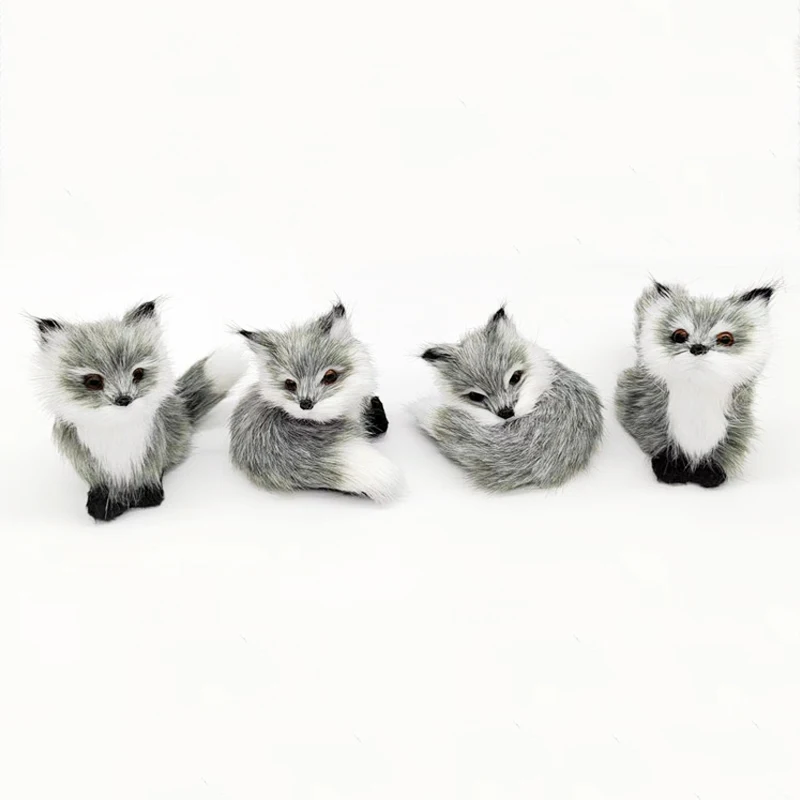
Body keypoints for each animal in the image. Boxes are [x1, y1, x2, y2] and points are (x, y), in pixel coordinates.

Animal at [32, 299, 248, 521]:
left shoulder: (152, 448)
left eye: (138, 373)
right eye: (93, 381)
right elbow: (100, 485)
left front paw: (148, 497)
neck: (116, 430)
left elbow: (149, 477)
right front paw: (103, 504)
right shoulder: (87, 460)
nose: (124, 399)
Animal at [615, 280, 776, 487]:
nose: (698, 348)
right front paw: (671, 469)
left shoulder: (737, 425)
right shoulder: (648, 414)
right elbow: (660, 443)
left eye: (725, 339)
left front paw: (710, 472)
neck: (698, 391)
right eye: (679, 335)